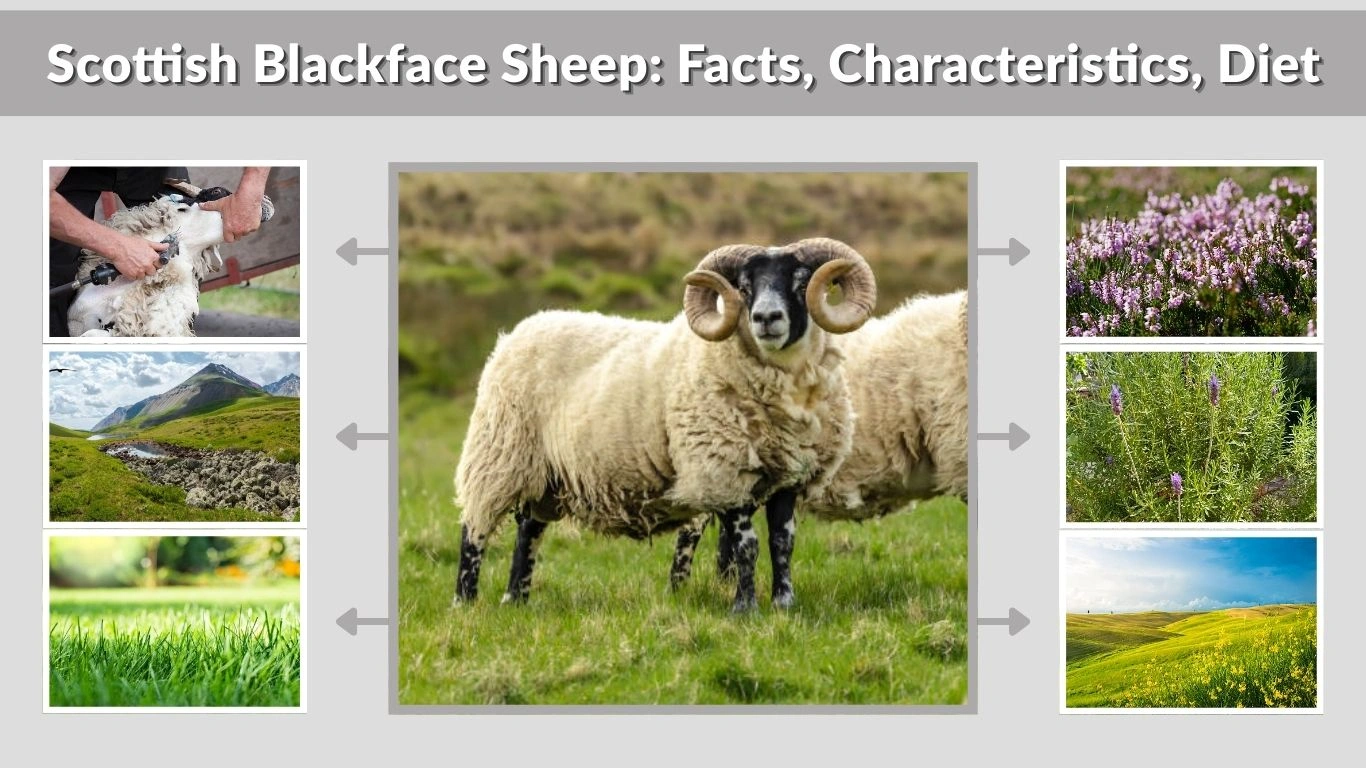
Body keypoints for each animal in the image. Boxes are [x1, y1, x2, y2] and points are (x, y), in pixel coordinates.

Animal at [452, 238, 877, 612]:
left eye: (801, 281)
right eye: (743, 287)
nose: (766, 319)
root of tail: (519, 330)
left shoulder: (789, 476)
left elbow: (782, 543)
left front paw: (784, 604)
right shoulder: (721, 472)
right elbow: (747, 544)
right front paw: (745, 608)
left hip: (546, 473)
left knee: (528, 527)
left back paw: (516, 599)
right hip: (499, 452)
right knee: (475, 529)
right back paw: (465, 603)